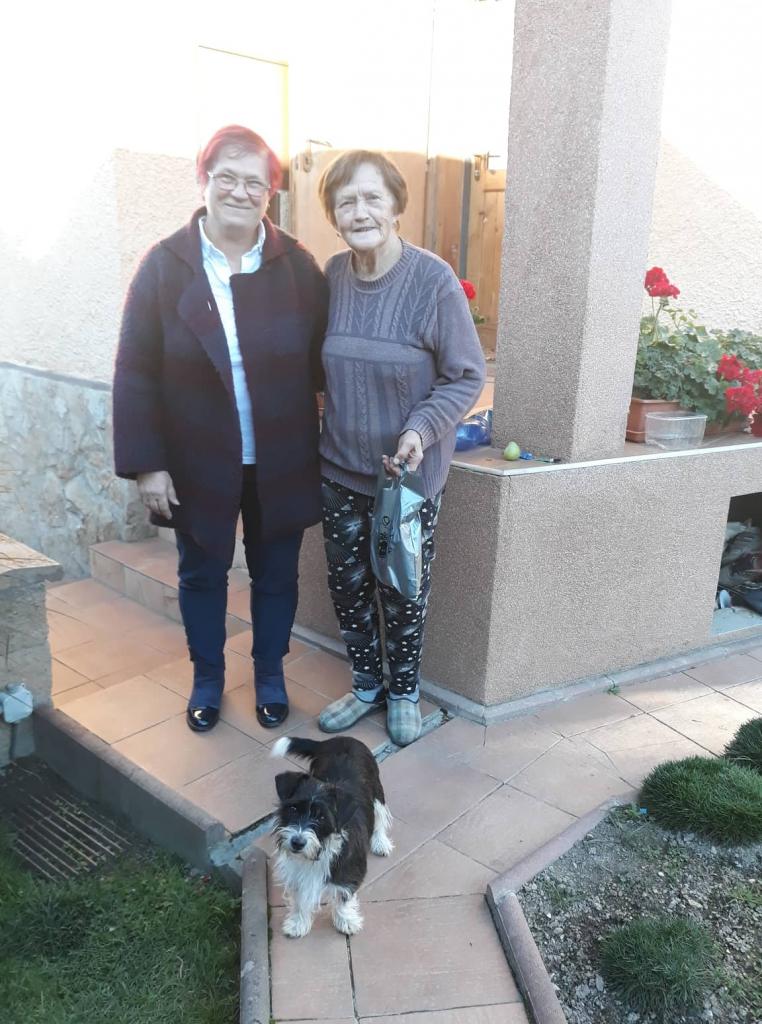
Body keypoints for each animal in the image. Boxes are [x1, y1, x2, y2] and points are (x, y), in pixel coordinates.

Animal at [270, 734, 393, 938]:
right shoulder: (296, 870)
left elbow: (343, 896)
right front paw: (298, 922)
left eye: (321, 817)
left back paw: (380, 842)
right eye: (293, 809)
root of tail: (341, 738)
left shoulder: (348, 871)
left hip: (377, 791)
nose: (297, 843)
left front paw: (346, 921)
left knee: (380, 816)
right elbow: (300, 897)